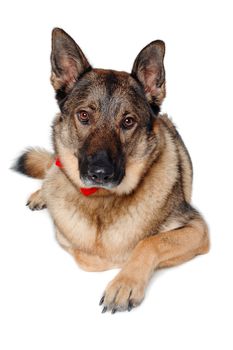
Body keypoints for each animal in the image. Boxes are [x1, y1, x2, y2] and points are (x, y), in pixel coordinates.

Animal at [13, 28, 209, 314]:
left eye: (128, 122)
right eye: (84, 116)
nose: (100, 173)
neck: (101, 200)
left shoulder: (197, 228)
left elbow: (148, 242)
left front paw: (124, 283)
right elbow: (89, 256)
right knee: (51, 168)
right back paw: (41, 194)